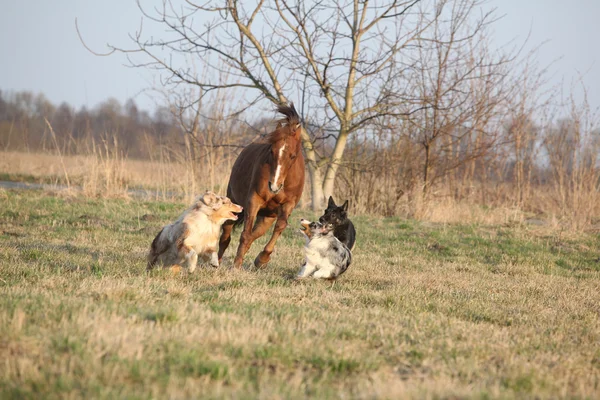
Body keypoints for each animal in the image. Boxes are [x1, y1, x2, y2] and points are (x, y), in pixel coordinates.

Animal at [218, 103, 304, 268]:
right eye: (271, 151)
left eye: (292, 156)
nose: (274, 186)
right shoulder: (254, 200)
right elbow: (245, 234)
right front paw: (236, 266)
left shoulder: (288, 205)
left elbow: (280, 226)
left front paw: (262, 259)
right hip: (235, 202)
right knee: (226, 235)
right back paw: (216, 261)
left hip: (267, 217)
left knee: (255, 234)